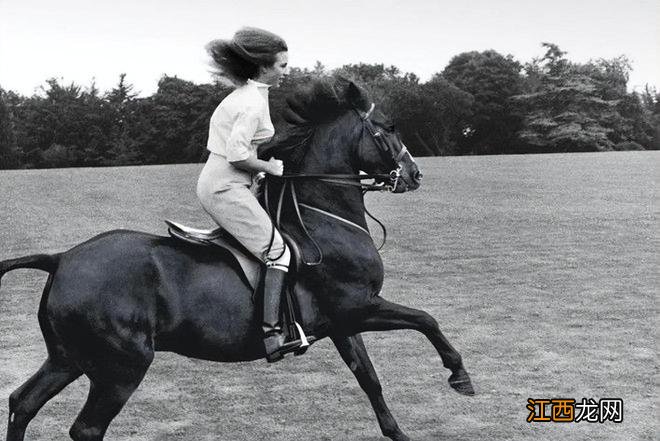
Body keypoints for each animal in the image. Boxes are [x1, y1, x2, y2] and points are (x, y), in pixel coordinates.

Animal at [1, 78, 474, 440]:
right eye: (387, 128)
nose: (413, 175)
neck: (325, 219)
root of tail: (62, 258)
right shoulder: (359, 306)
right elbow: (426, 319)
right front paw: (459, 376)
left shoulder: (343, 322)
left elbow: (370, 379)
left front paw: (399, 431)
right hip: (121, 368)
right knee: (85, 428)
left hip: (69, 359)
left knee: (22, 402)